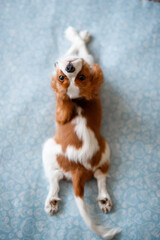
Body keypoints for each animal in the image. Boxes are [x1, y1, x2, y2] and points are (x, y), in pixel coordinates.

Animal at [42, 27, 120, 239]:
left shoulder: (84, 58)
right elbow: (77, 46)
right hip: (100, 148)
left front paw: (77, 35)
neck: (75, 98)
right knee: (95, 176)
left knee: (60, 177)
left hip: (59, 148)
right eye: (62, 78)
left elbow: (76, 46)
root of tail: (78, 168)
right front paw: (77, 35)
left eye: (81, 77)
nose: (69, 67)